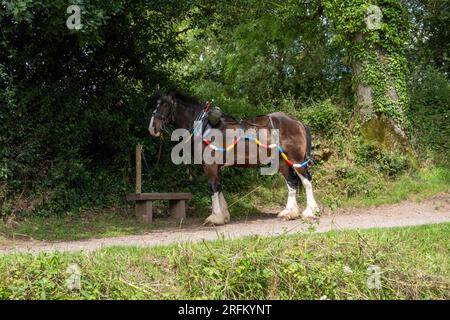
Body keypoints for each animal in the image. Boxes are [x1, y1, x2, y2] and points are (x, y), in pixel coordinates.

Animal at [149, 90, 320, 225]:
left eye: (165, 105)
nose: (152, 128)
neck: (204, 128)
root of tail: (298, 122)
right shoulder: (216, 167)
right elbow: (218, 187)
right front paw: (223, 215)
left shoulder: (210, 165)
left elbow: (212, 187)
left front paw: (215, 217)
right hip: (283, 162)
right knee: (291, 182)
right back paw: (289, 212)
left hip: (296, 160)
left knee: (306, 180)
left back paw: (310, 212)